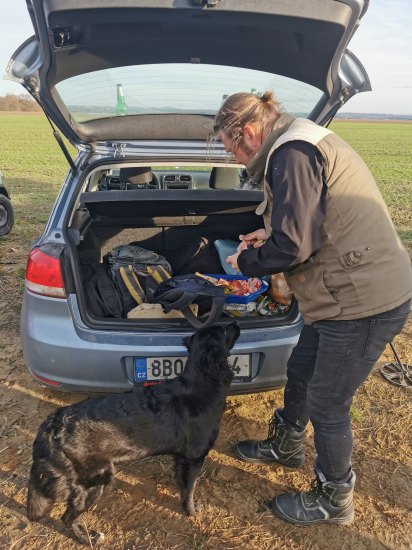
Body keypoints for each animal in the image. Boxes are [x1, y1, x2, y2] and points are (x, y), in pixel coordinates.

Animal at [27, 324, 240, 548]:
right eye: (225, 330)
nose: (235, 323)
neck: (200, 383)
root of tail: (52, 428)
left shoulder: (181, 458)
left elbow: (182, 485)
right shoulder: (194, 458)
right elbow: (190, 490)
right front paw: (191, 511)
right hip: (94, 481)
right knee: (67, 517)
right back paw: (88, 539)